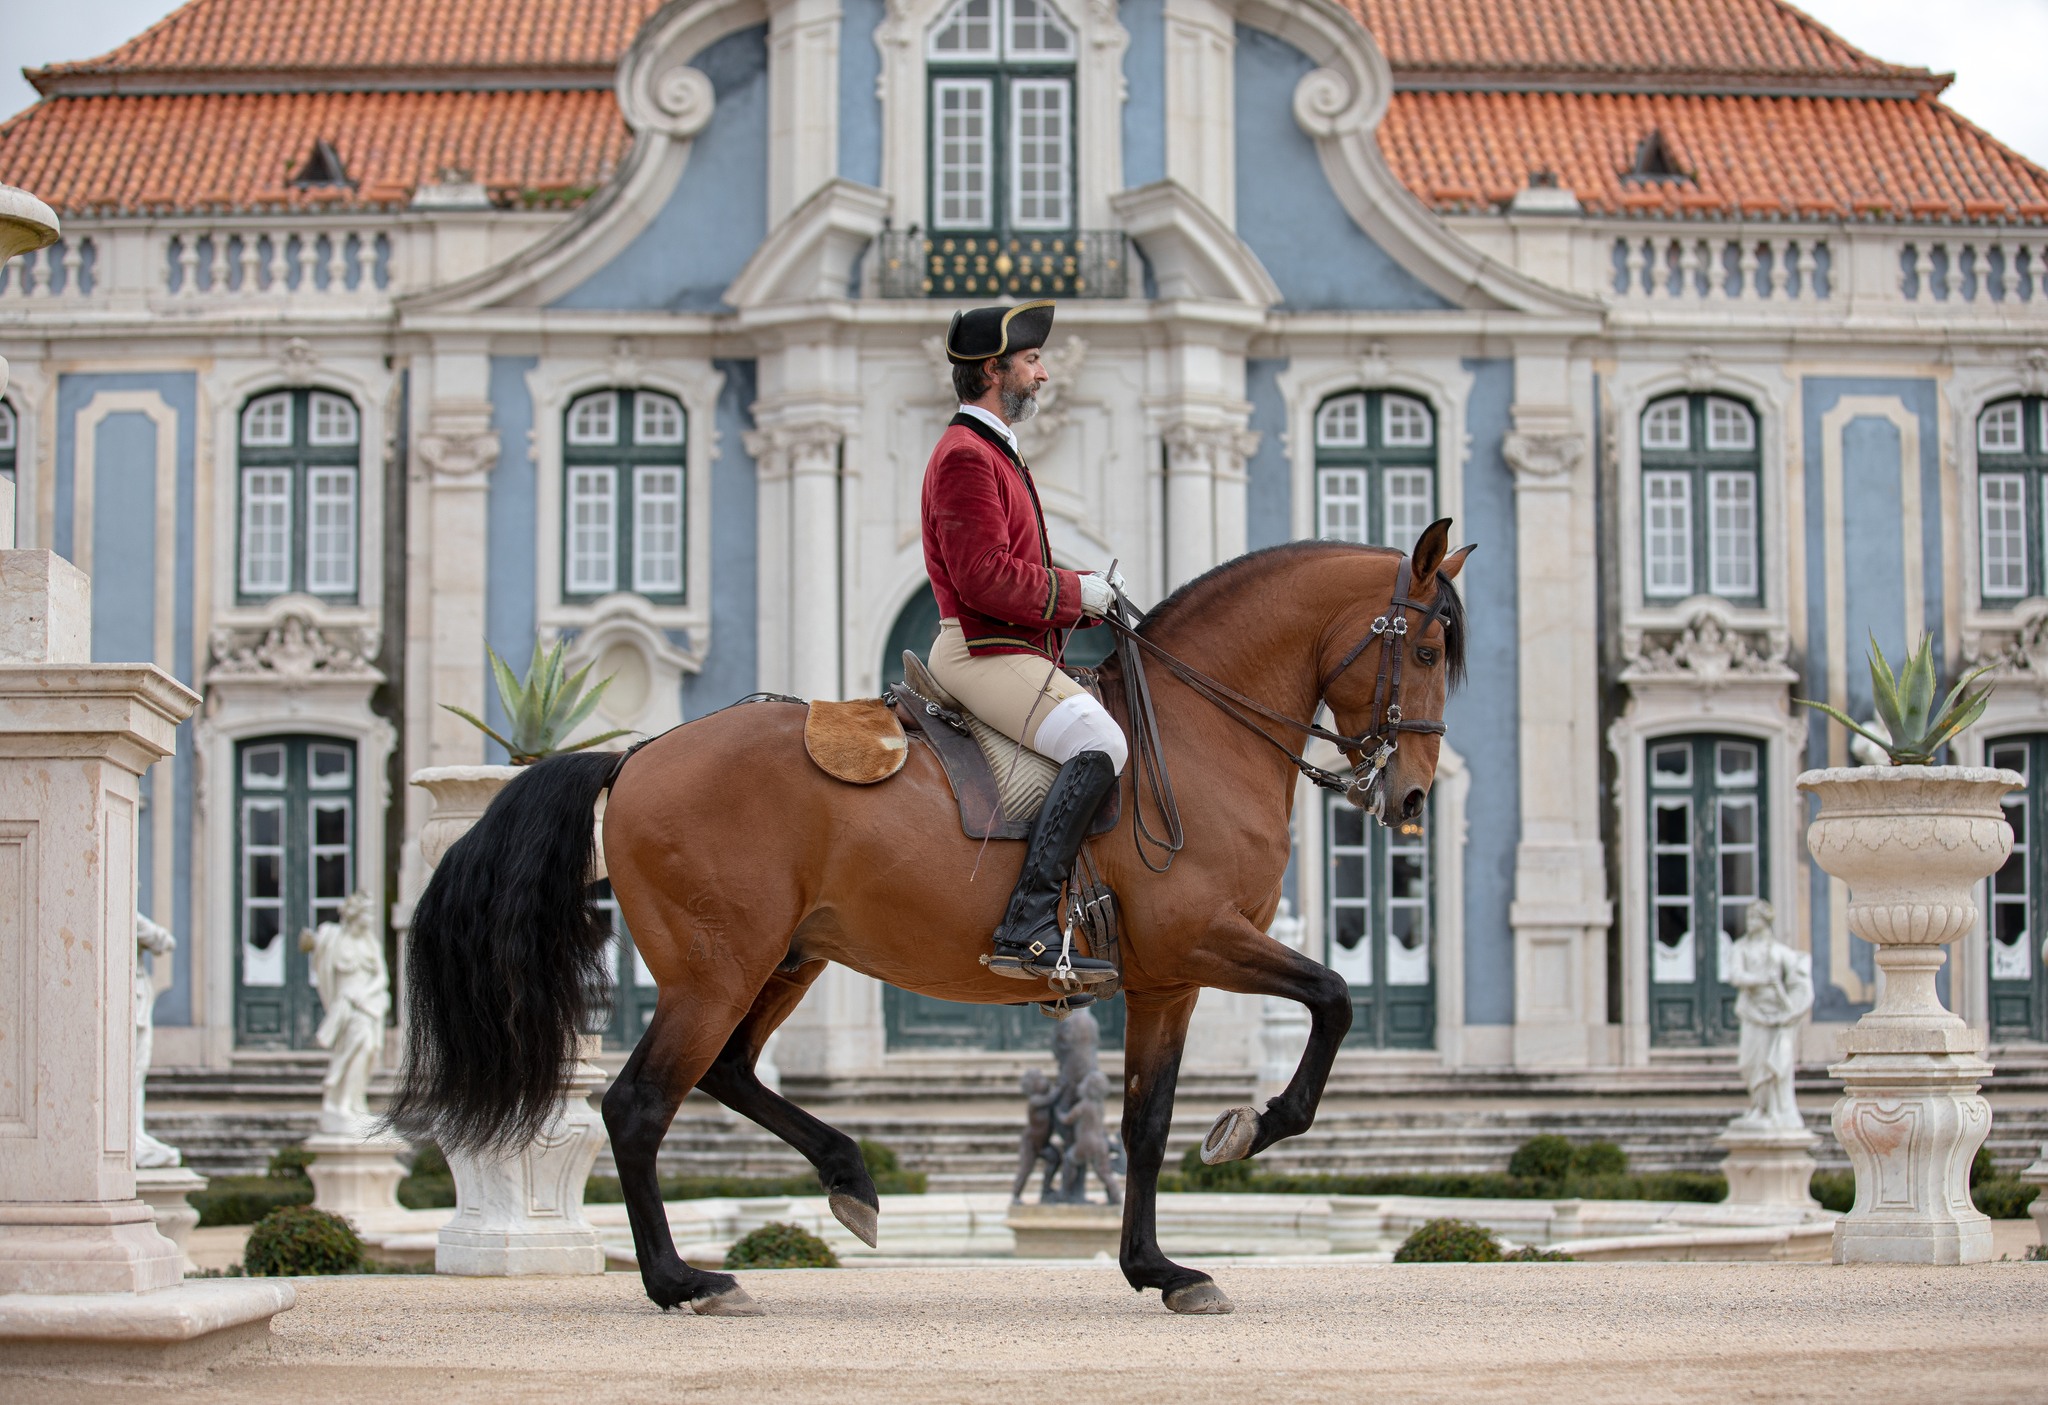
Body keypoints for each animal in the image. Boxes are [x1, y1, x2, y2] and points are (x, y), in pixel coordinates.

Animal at [387, 518, 1474, 1318]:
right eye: (1424, 646)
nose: (1413, 796)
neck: (1198, 730)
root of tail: (638, 750)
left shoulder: (1169, 980)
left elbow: (1142, 1123)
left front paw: (1158, 1267)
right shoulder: (1202, 940)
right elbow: (1332, 997)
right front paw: (1255, 1126)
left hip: (783, 960)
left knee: (729, 1072)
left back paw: (846, 1176)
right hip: (716, 970)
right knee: (639, 1105)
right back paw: (681, 1280)